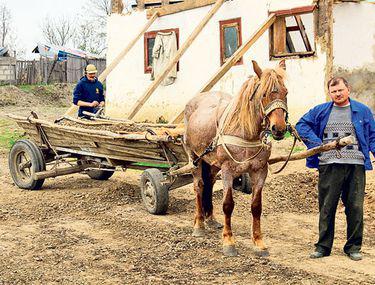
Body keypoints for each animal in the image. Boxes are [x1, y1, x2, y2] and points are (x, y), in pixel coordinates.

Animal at [184, 59, 288, 255]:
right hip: (194, 158)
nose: (279, 129)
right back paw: (199, 225)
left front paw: (258, 242)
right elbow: (228, 204)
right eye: (264, 94)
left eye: (286, 92)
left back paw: (211, 219)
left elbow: (256, 206)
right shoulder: (227, 170)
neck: (246, 133)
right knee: (199, 186)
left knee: (209, 183)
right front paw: (228, 241)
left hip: (212, 163)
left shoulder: (260, 171)